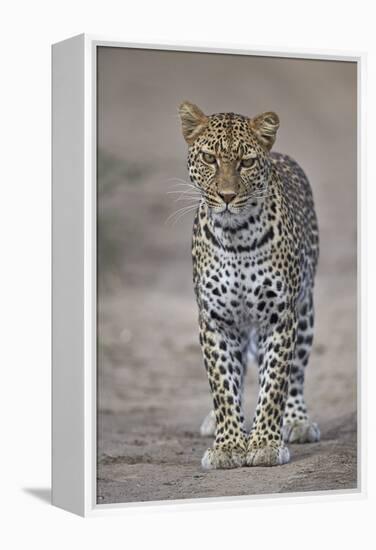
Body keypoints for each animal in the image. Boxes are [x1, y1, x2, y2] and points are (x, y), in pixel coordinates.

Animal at [178, 100, 320, 470]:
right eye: (209, 158)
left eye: (247, 162)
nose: (227, 196)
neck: (237, 235)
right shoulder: (215, 321)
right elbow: (223, 385)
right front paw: (228, 445)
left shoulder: (280, 318)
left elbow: (274, 386)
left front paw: (266, 444)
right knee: (238, 373)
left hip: (305, 311)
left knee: (296, 375)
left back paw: (296, 422)